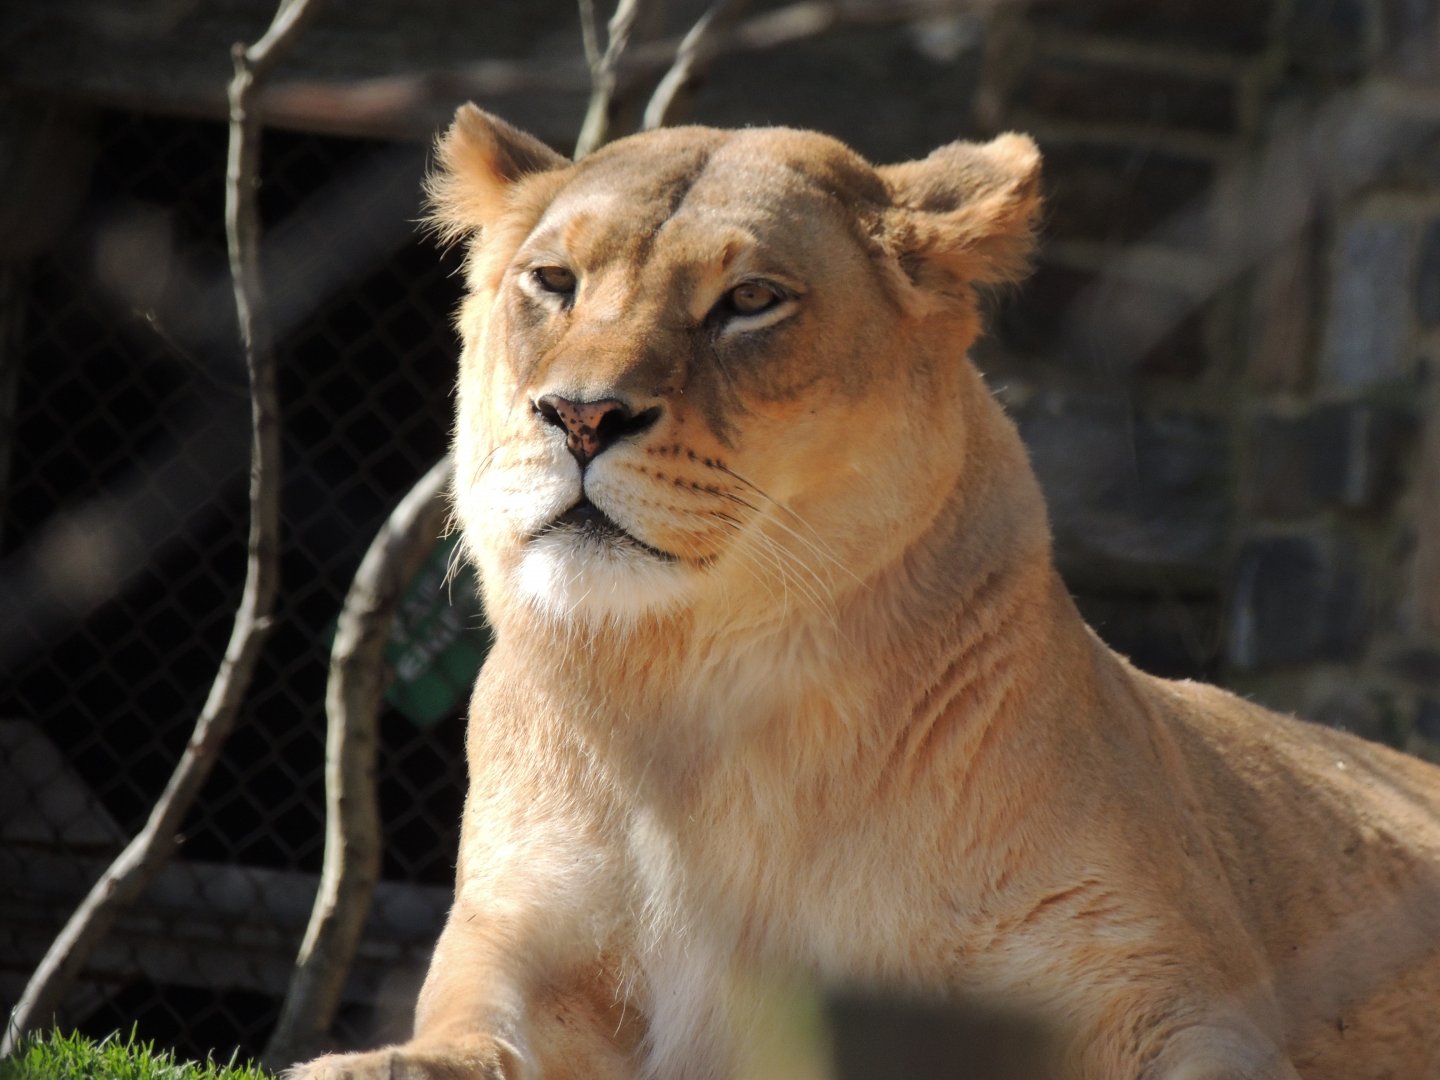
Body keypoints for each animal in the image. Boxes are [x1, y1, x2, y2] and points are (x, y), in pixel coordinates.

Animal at [293, 107, 1440, 1080]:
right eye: (554, 281)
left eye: (751, 301)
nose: (578, 416)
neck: (704, 705)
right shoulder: (522, 947)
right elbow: (460, 1042)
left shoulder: (1151, 987)